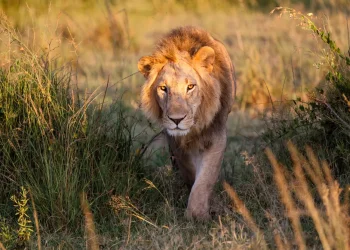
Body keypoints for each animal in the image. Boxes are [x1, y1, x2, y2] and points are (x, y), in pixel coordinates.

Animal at [138, 26, 237, 220]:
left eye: (190, 87)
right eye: (163, 88)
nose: (176, 120)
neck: (193, 128)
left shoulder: (216, 135)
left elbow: (205, 178)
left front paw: (198, 214)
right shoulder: (175, 141)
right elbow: (189, 170)